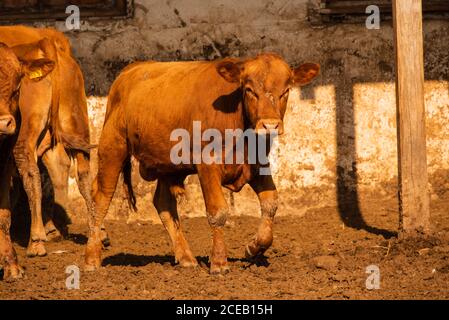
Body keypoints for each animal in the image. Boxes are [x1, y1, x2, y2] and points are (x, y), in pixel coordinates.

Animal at [85, 53, 318, 274]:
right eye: (249, 89)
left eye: (286, 91)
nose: (270, 125)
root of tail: (132, 69)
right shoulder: (208, 166)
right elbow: (218, 212)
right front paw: (219, 262)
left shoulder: (257, 165)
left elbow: (271, 203)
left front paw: (254, 247)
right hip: (112, 147)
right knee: (101, 198)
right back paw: (92, 259)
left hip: (167, 165)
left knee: (163, 204)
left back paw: (186, 258)